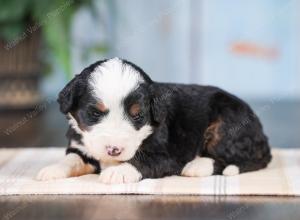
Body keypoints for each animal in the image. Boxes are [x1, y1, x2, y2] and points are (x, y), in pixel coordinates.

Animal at [37, 57, 272, 184]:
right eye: (95, 113)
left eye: (137, 116)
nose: (114, 150)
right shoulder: (80, 146)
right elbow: (72, 159)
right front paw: (53, 169)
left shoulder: (168, 155)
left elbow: (142, 161)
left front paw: (118, 172)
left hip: (225, 125)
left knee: (234, 159)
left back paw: (197, 166)